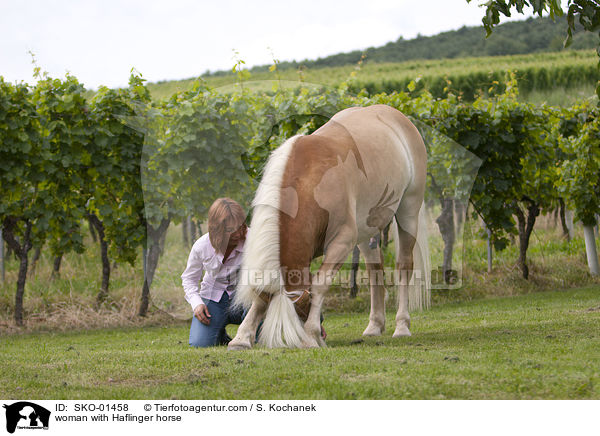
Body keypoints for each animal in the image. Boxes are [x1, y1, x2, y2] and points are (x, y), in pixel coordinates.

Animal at [227, 104, 428, 350]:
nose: (323, 333)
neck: (309, 182)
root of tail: (396, 115)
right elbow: (262, 296)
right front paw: (242, 337)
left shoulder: (341, 242)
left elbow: (320, 284)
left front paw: (309, 335)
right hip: (365, 231)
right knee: (375, 270)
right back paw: (374, 325)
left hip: (408, 211)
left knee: (403, 267)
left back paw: (402, 326)